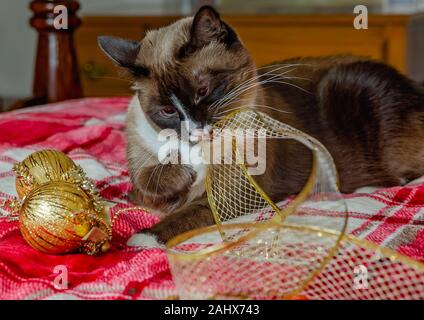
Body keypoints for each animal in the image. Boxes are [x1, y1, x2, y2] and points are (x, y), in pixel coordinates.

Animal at [97, 5, 424, 245]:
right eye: (167, 111)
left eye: (204, 91)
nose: (196, 130)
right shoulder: (143, 179)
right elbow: (148, 178)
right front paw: (182, 174)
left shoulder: (234, 193)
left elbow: (187, 212)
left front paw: (141, 241)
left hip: (354, 86)